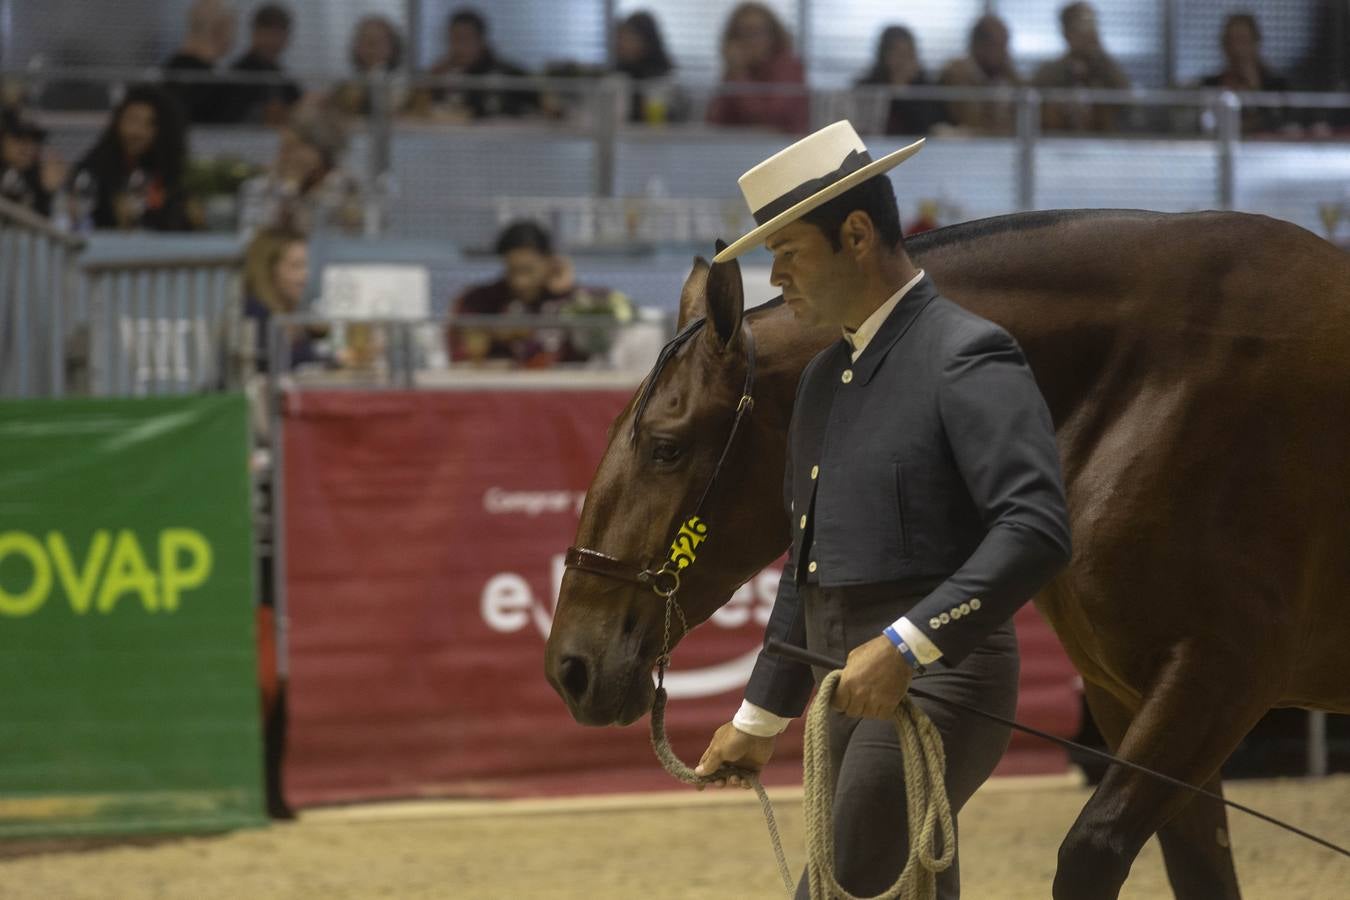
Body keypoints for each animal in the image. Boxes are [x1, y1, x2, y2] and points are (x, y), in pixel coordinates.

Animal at [545, 209, 1350, 899]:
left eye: (666, 447)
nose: (569, 667)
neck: (1161, 378)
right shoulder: (1129, 697)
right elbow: (1199, 864)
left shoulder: (1218, 675)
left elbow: (1091, 852)